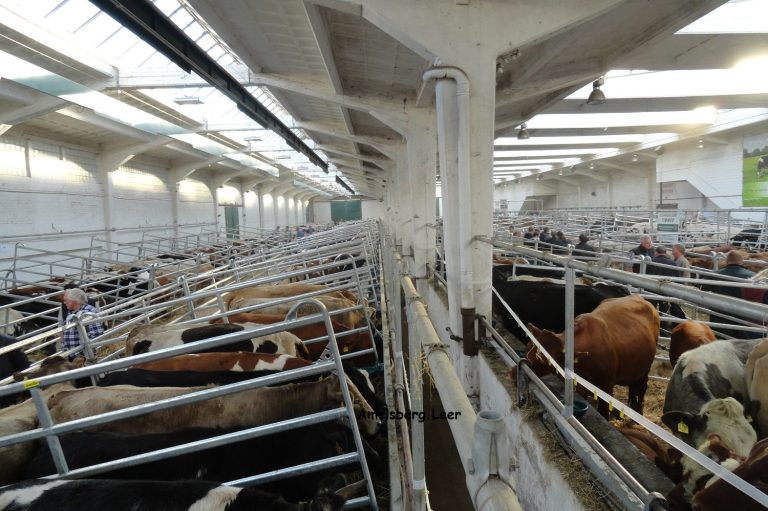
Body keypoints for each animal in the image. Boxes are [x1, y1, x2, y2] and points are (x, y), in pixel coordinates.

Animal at [528, 294, 660, 418]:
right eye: (529, 347)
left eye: (542, 359)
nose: (526, 361)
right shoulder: (581, 388)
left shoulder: (607, 387)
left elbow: (603, 412)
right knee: (633, 386)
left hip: (645, 368)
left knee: (642, 387)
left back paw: (638, 412)